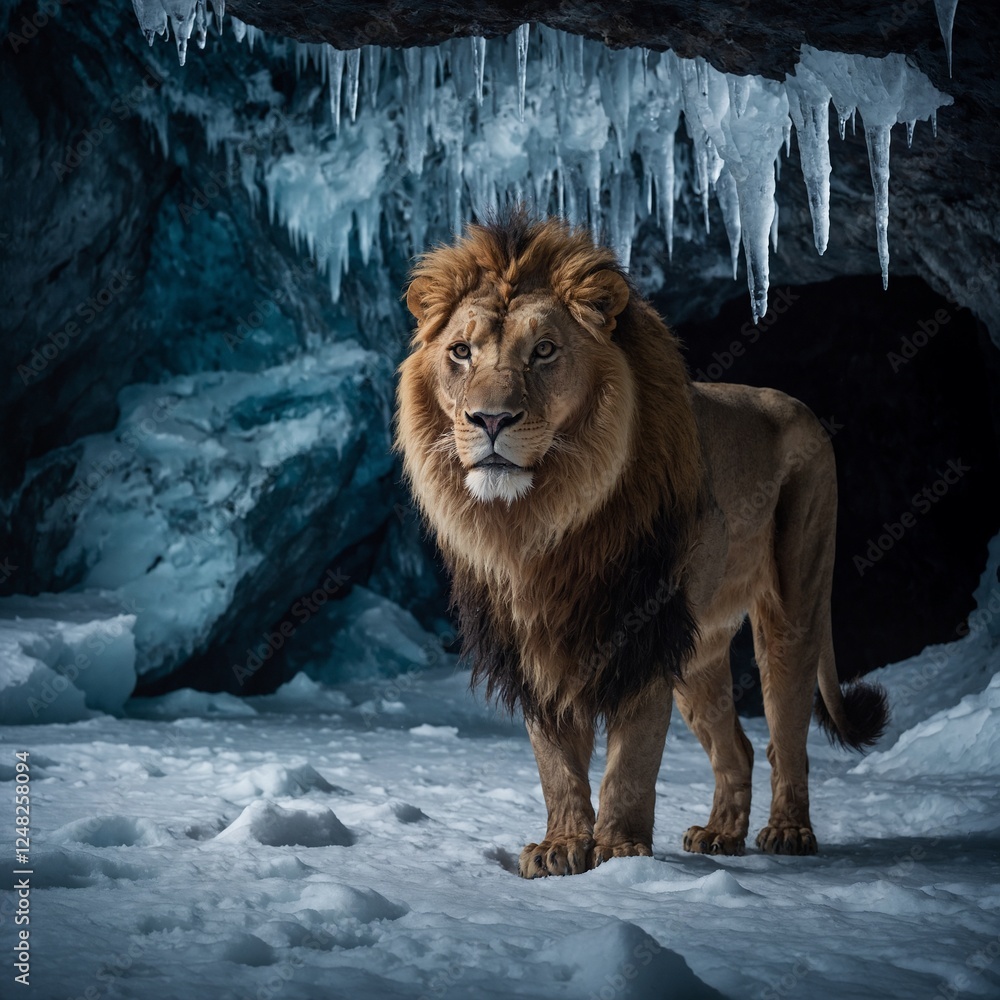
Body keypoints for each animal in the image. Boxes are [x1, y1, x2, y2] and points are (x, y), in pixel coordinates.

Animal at [395, 210, 888, 877]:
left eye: (544, 351)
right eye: (461, 352)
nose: (490, 420)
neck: (543, 523)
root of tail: (795, 403)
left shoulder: (644, 628)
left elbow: (631, 759)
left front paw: (621, 851)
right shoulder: (535, 642)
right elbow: (555, 762)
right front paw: (560, 846)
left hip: (792, 605)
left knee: (787, 734)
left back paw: (788, 832)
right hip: (700, 647)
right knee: (736, 747)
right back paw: (721, 834)